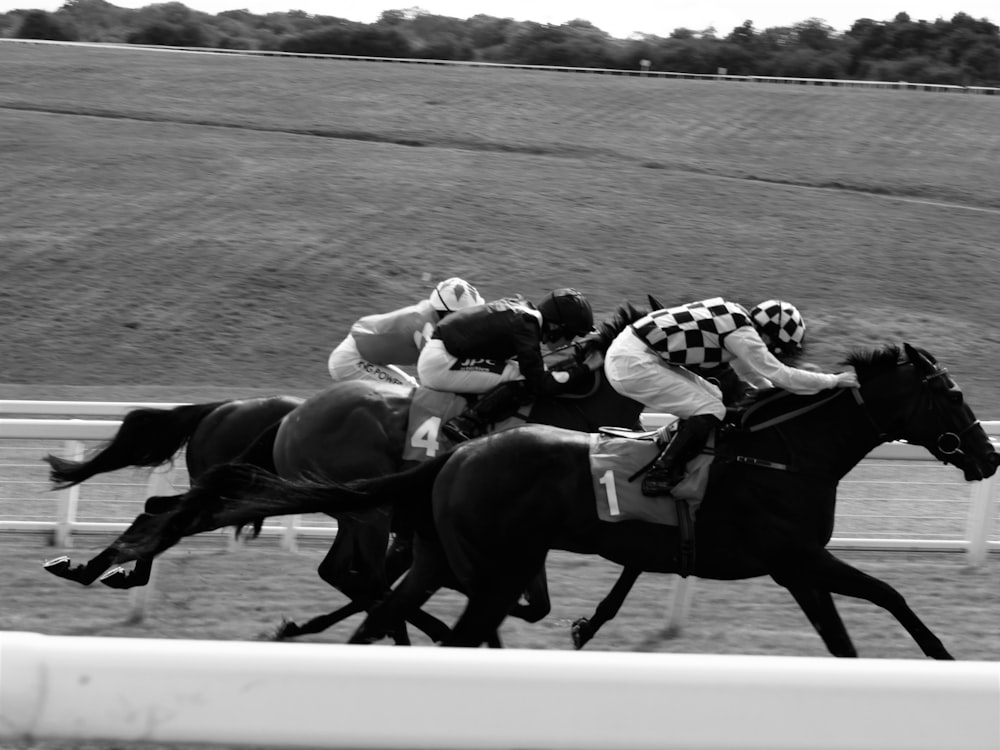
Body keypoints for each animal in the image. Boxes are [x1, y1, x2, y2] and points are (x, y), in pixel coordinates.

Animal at [115, 344, 1000, 656]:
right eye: (949, 395)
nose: (989, 455)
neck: (780, 455)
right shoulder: (794, 559)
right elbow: (874, 608)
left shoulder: (792, 563)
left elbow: (867, 613)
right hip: (420, 532)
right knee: (383, 589)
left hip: (432, 540)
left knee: (386, 595)